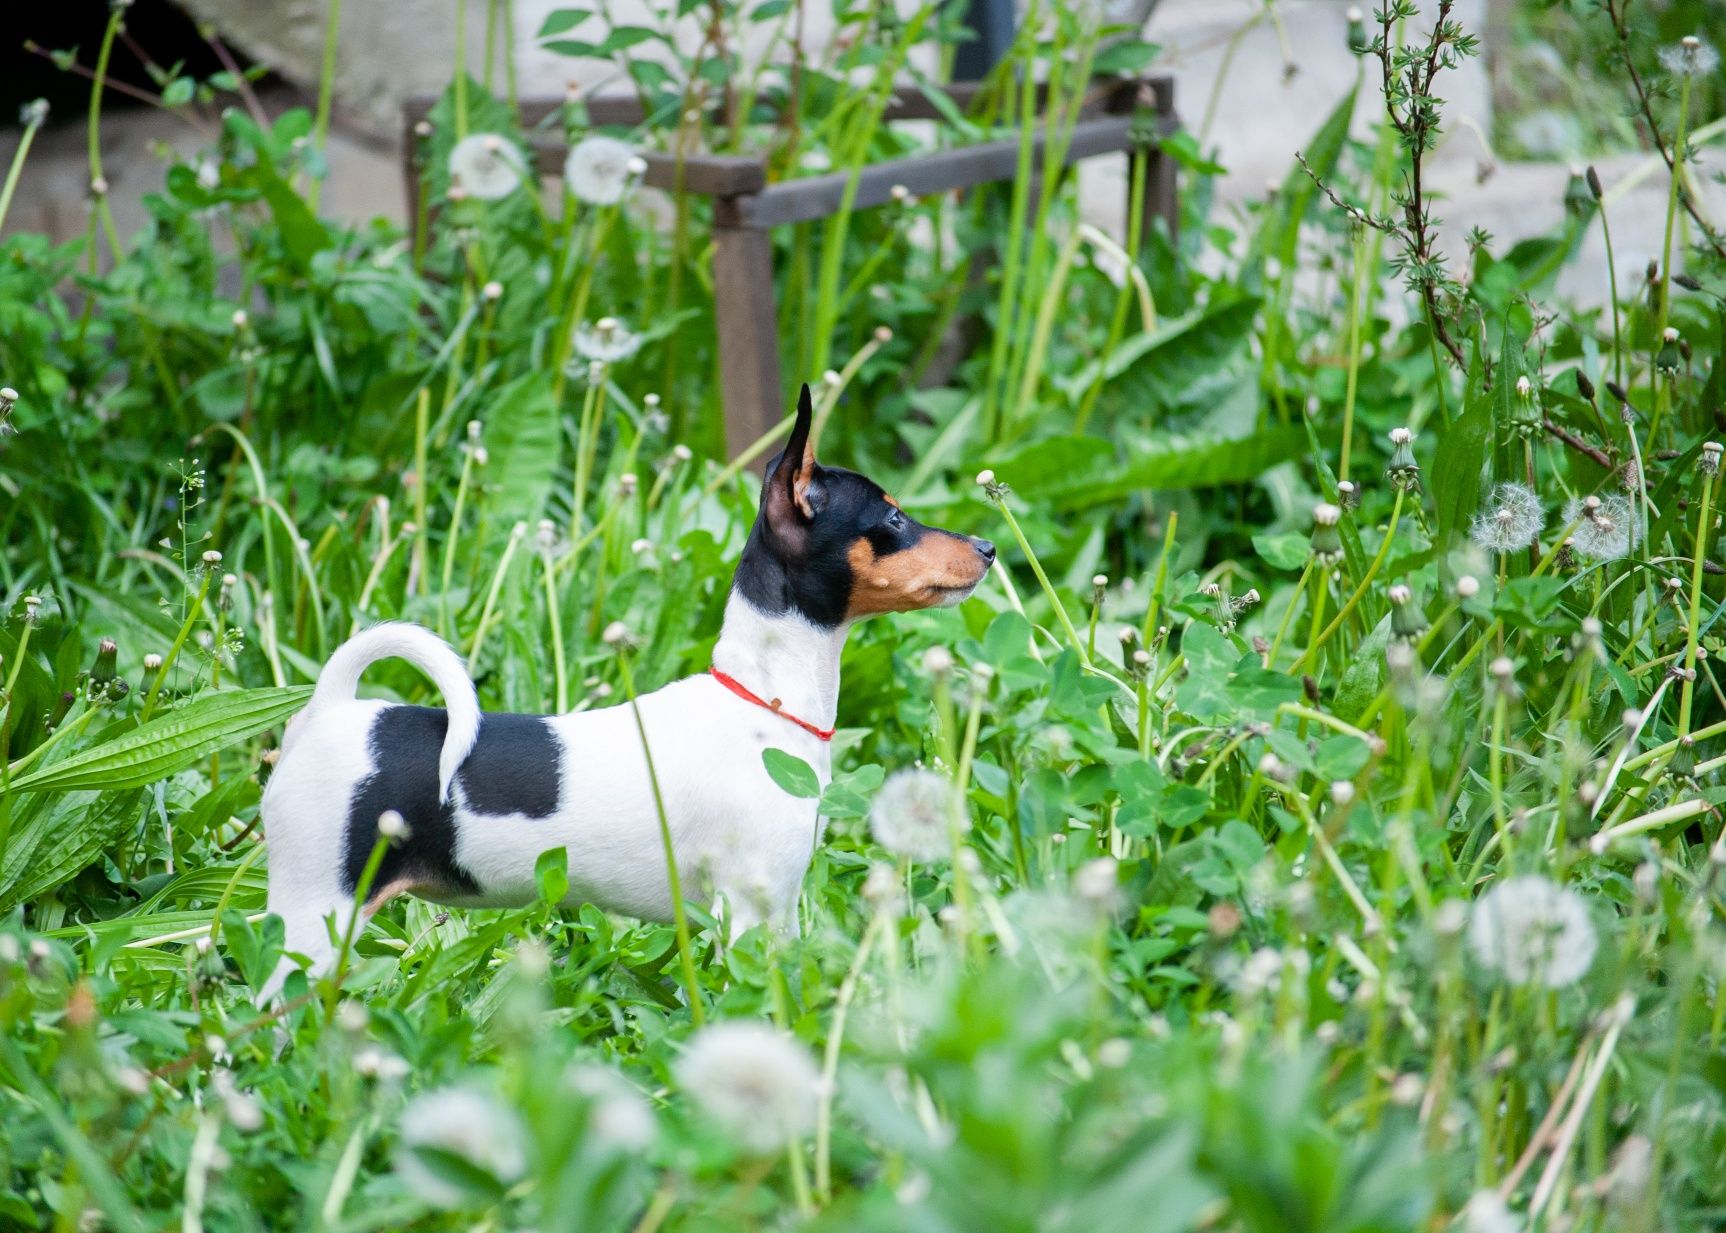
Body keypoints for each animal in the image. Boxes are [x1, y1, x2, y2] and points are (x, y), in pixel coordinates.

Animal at [251, 388, 994, 994]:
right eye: (892, 520)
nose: (988, 546)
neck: (762, 701)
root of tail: (332, 711)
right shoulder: (745, 914)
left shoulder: (778, 912)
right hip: (314, 915)